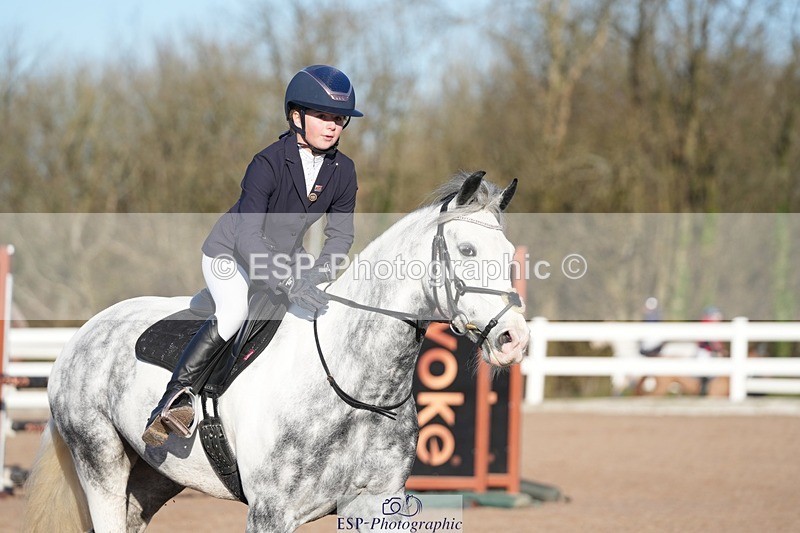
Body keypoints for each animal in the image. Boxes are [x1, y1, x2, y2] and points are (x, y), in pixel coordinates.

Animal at [23, 171, 530, 532]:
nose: (514, 339)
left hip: (155, 474)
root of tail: (82, 334)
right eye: (466, 249)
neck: (354, 384)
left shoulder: (374, 503)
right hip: (100, 460)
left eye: (510, 254)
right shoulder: (270, 513)